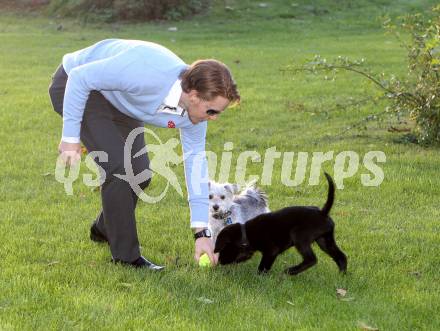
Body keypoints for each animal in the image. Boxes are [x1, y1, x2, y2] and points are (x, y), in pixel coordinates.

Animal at [214, 172, 348, 276]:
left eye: (223, 248)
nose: (219, 262)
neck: (246, 234)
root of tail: (323, 212)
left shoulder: (271, 251)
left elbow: (262, 267)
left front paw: (259, 277)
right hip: (325, 240)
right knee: (341, 256)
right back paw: (342, 275)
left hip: (299, 236)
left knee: (312, 259)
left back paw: (291, 271)